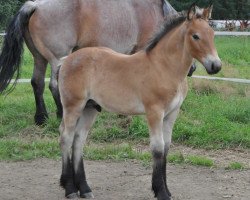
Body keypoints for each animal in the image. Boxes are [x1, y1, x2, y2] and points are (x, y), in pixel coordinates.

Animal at [0, 0, 197, 125]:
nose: (193, 68)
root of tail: (36, 5)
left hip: (39, 58)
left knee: (37, 83)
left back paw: (41, 118)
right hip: (57, 58)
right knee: (54, 86)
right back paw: (61, 114)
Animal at [59, 3, 223, 199]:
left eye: (212, 34)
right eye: (195, 36)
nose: (215, 66)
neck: (164, 67)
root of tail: (66, 59)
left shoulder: (171, 114)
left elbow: (166, 147)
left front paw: (166, 190)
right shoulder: (154, 112)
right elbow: (157, 148)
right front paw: (161, 192)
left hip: (90, 109)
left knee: (78, 140)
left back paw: (84, 188)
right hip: (73, 106)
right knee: (66, 138)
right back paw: (70, 189)